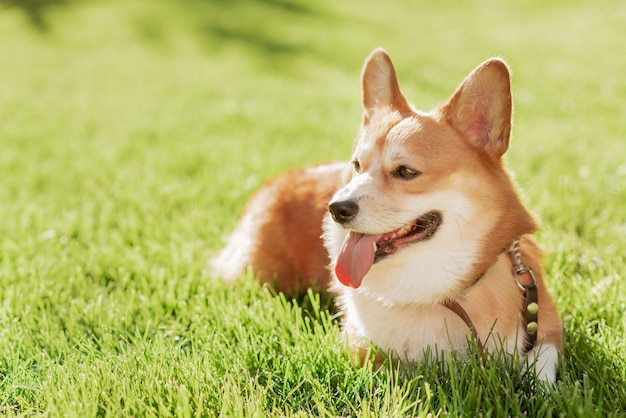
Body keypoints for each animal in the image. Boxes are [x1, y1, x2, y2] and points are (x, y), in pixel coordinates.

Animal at [210, 48, 560, 382]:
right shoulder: (364, 349)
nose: (337, 208)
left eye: (405, 171)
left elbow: (542, 371)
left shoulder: (545, 330)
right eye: (356, 166)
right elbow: (404, 375)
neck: (442, 293)